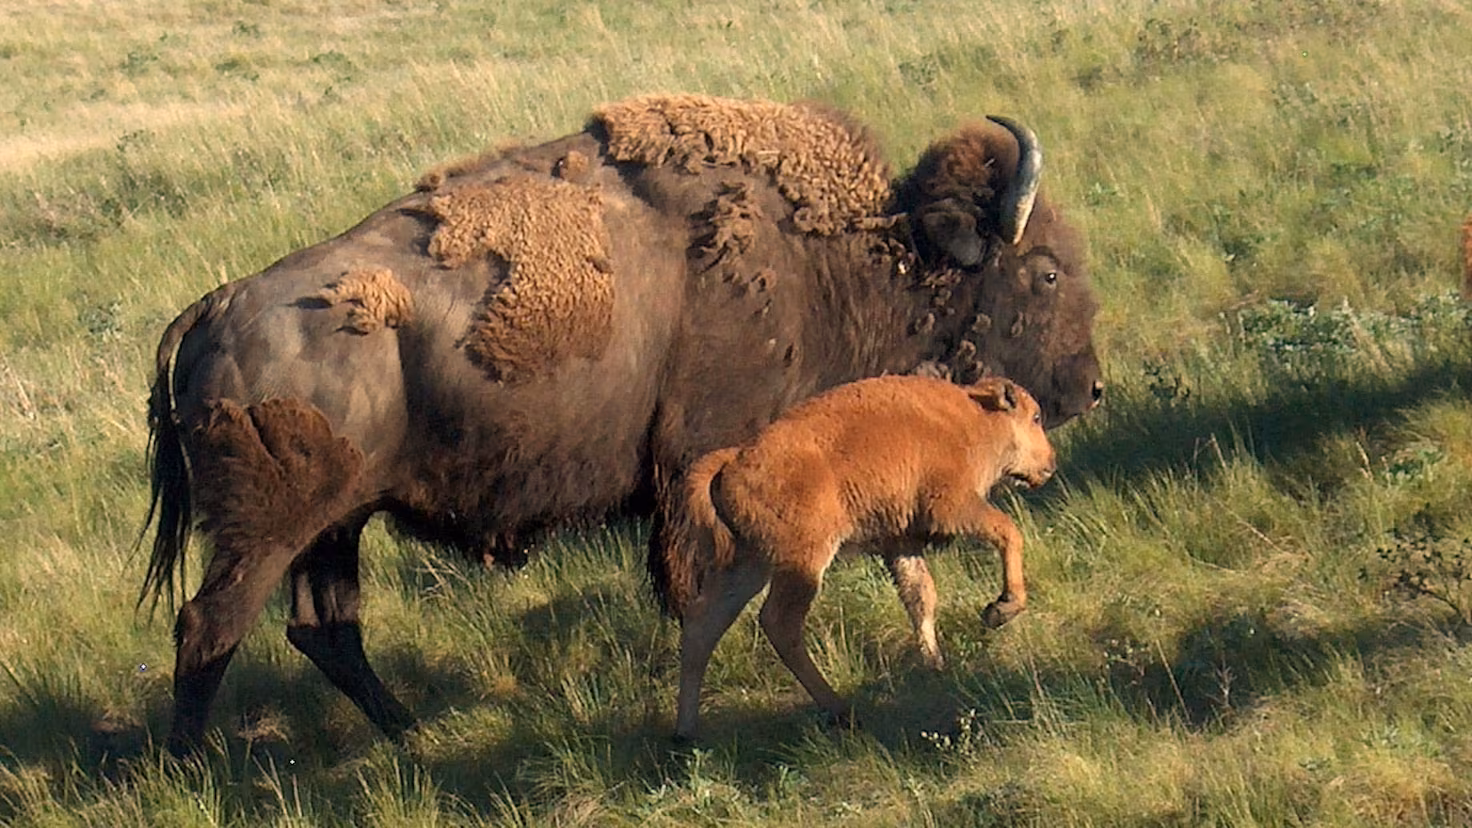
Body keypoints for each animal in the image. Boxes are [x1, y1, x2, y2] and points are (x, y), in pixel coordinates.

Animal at [140, 94, 1103, 753]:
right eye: (1046, 271)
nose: (1090, 388)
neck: (837, 255)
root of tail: (216, 306)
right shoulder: (699, 471)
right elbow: (701, 588)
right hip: (268, 534)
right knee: (209, 627)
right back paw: (195, 768)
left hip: (336, 527)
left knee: (324, 629)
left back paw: (410, 734)